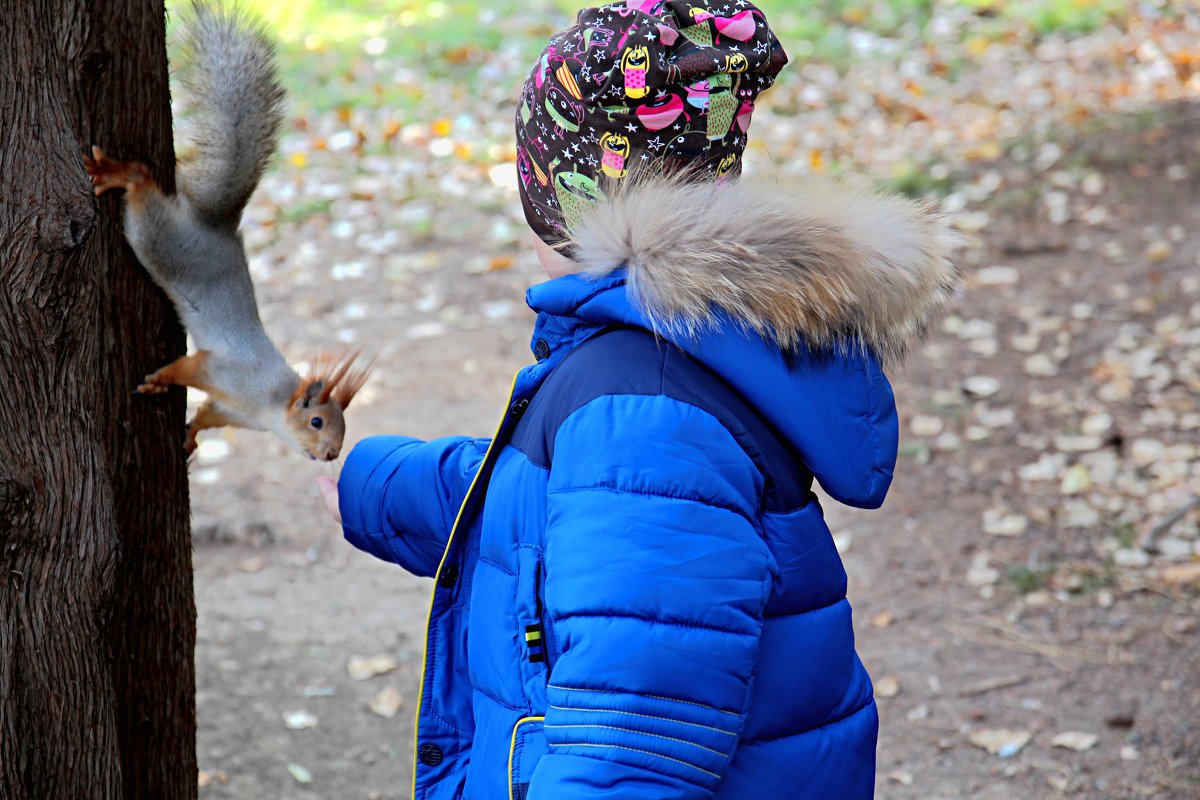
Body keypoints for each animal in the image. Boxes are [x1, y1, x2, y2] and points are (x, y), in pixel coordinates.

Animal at [84, 3, 367, 462]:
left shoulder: (233, 409)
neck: (270, 406)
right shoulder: (224, 371)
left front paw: (191, 436)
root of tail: (217, 224)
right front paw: (160, 380)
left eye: (341, 429)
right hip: (162, 243)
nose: (331, 454)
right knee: (142, 185)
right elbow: (189, 367)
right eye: (317, 421)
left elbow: (208, 414)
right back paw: (120, 174)